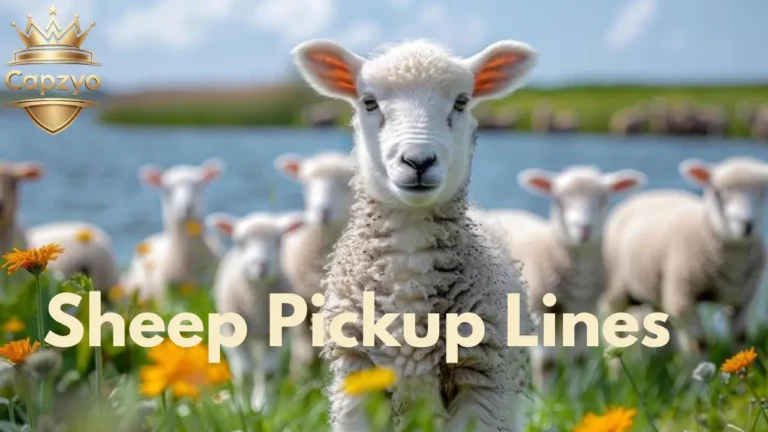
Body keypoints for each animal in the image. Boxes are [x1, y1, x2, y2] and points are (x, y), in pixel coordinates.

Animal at [207, 210, 304, 411]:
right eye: (239, 241)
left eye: (279, 240)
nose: (261, 265)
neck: (257, 305)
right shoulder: (233, 332)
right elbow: (244, 373)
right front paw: (243, 408)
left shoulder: (277, 333)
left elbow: (268, 372)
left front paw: (263, 406)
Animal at [273, 151, 355, 376]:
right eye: (307, 183)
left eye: (346, 184)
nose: (322, 211)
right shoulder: (301, 303)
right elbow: (304, 353)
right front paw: (299, 376)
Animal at [477, 166, 646, 389]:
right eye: (559, 200)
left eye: (603, 199)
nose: (584, 228)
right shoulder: (539, 309)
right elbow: (546, 363)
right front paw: (546, 397)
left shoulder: (586, 312)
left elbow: (579, 359)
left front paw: (577, 395)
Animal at [600, 156, 768, 354]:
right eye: (718, 193)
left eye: (764, 192)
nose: (746, 225)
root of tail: (649, 194)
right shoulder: (681, 297)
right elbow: (699, 342)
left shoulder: (745, 298)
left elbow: (740, 337)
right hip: (616, 290)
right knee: (615, 328)